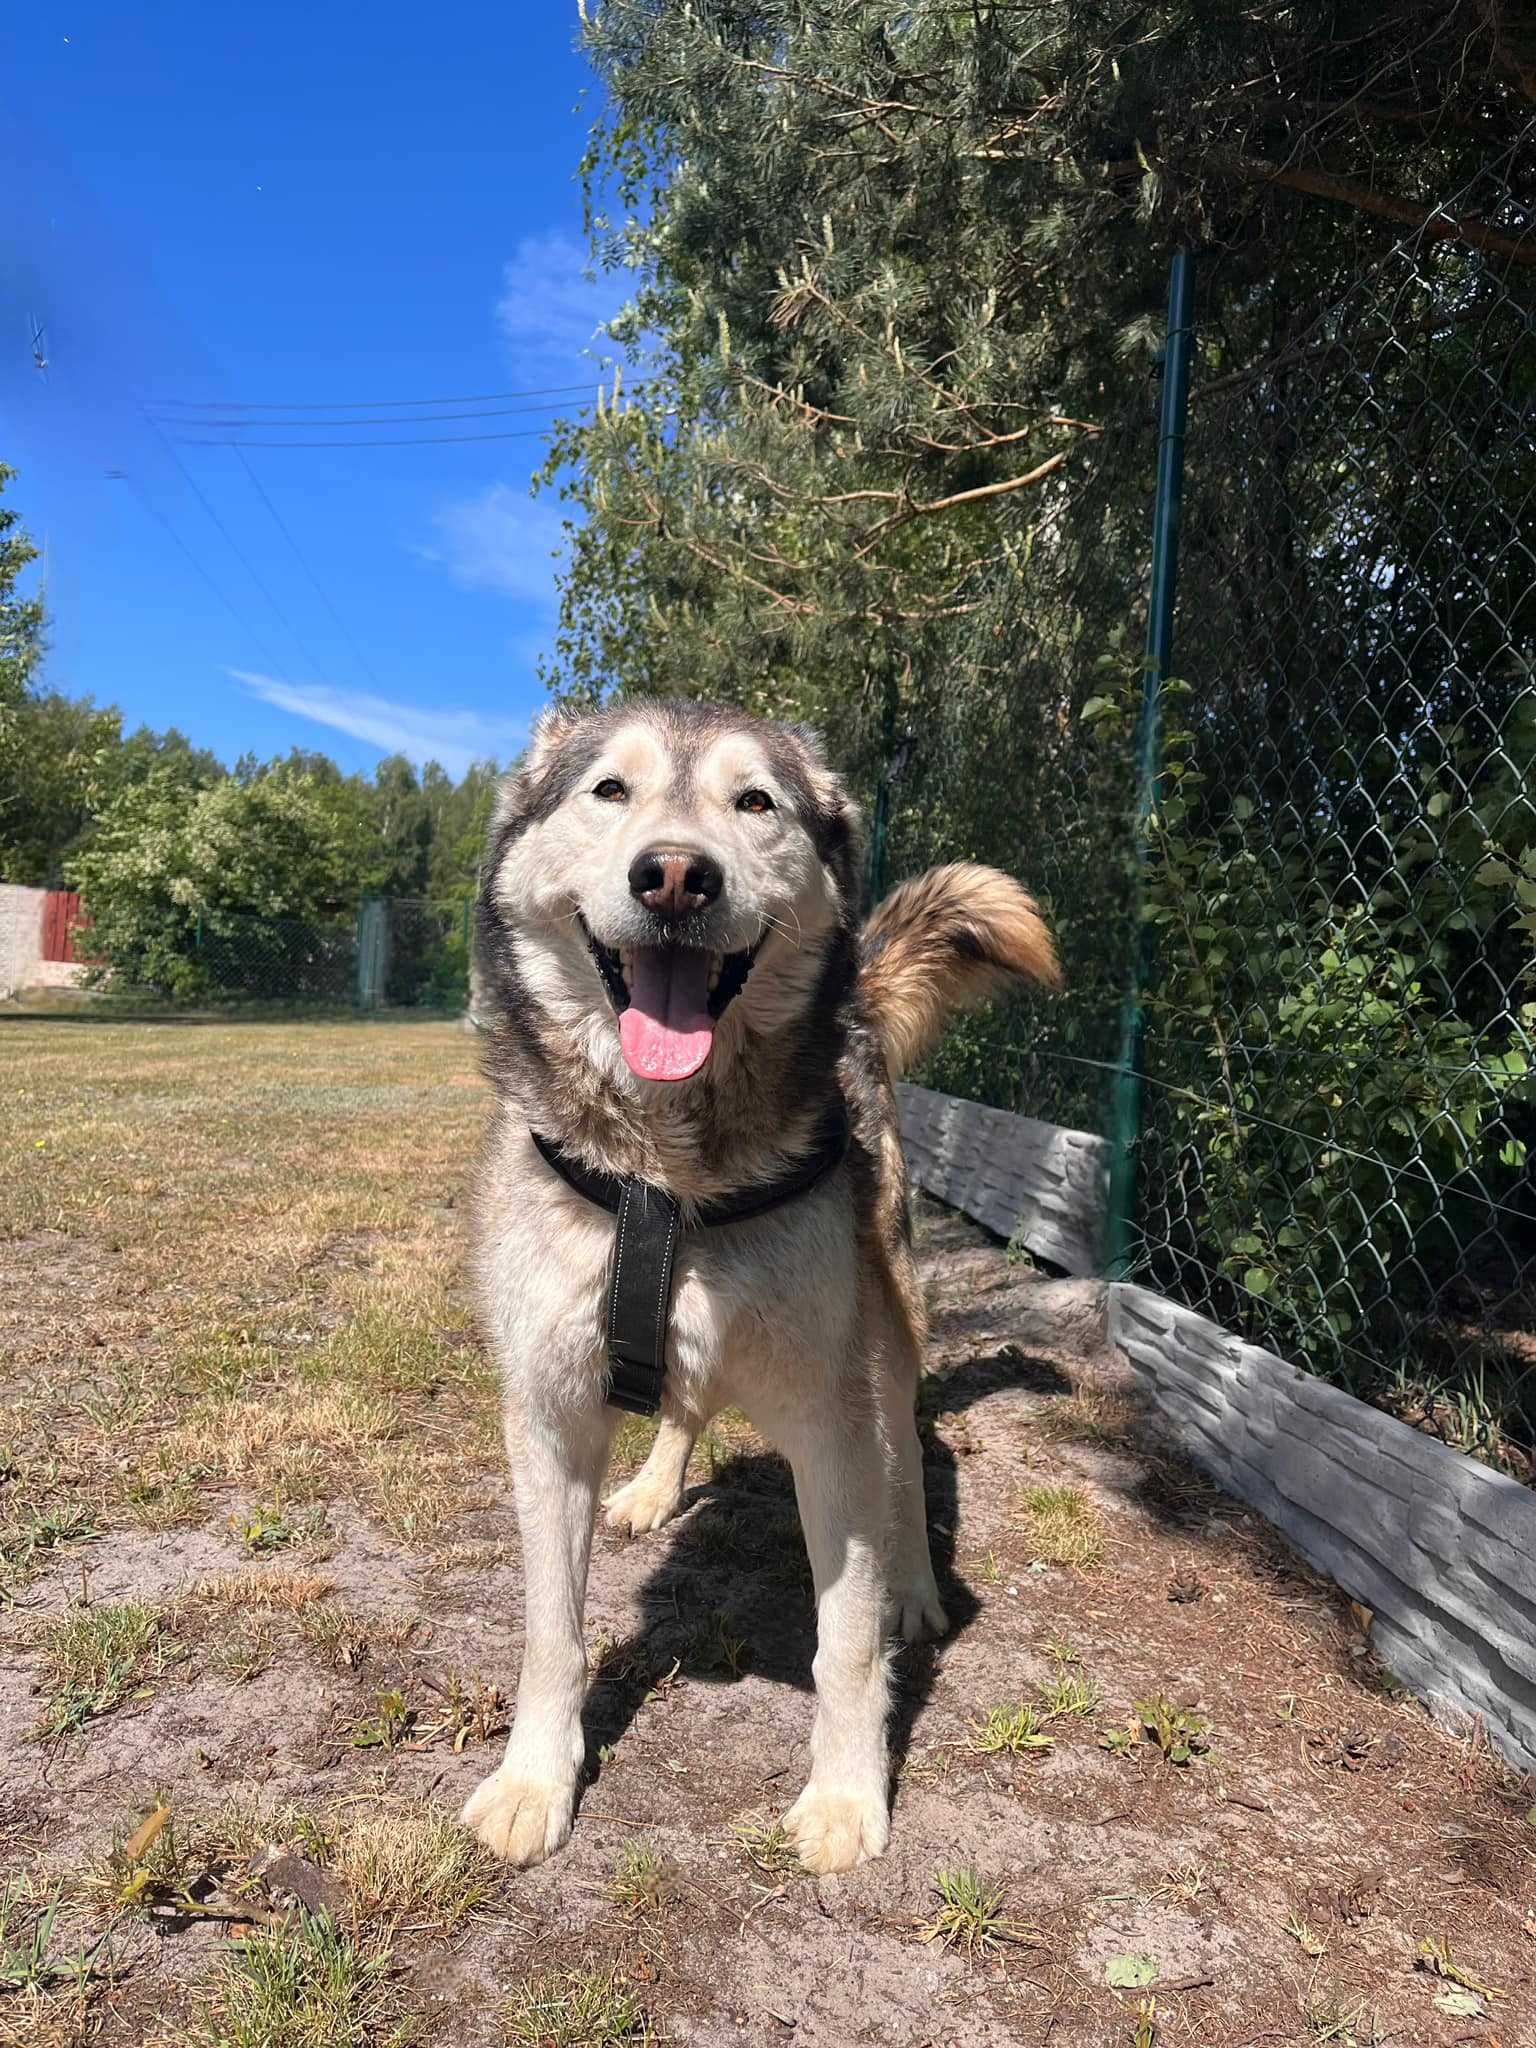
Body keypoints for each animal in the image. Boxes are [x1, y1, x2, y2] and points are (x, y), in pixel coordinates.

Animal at [456, 700, 1056, 1875]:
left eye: (755, 802)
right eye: (609, 790)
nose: (675, 877)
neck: (665, 1178)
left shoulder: (830, 1414)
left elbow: (845, 1643)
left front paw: (846, 1795)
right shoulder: (548, 1412)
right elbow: (552, 1631)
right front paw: (536, 1778)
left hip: (890, 1327)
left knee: (905, 1456)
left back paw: (918, 1586)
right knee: (683, 1403)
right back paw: (652, 1487)